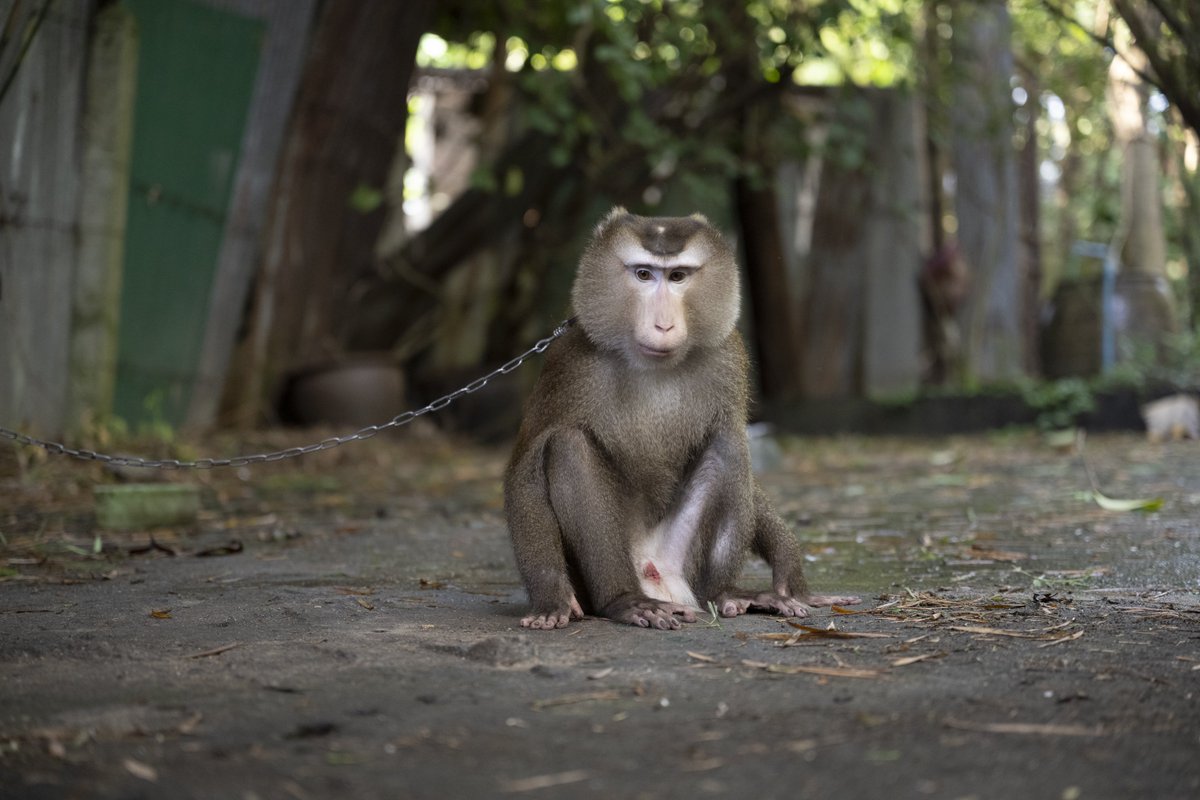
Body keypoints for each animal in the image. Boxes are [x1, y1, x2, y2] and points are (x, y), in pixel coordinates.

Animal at [504, 207, 860, 630]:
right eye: (644, 274)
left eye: (677, 276)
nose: (663, 325)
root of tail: (657, 579)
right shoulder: (568, 366)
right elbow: (525, 471)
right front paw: (551, 599)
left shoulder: (728, 358)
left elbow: (732, 439)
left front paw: (791, 571)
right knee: (567, 445)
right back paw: (624, 600)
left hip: (683, 561)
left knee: (729, 440)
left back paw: (726, 593)